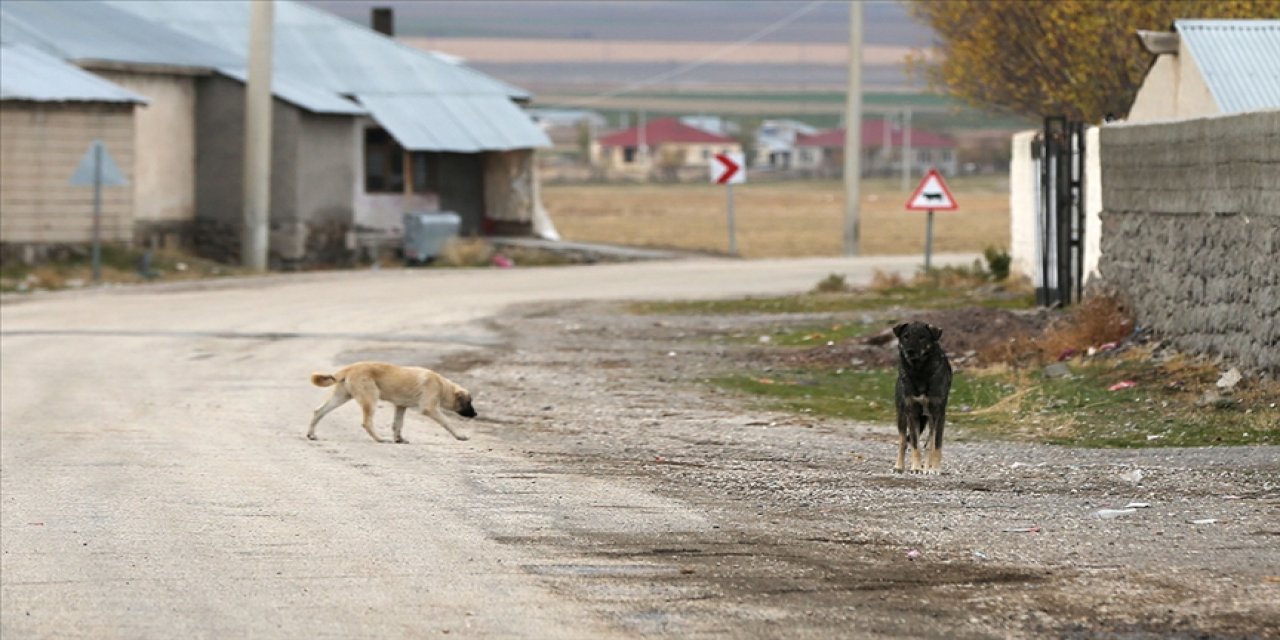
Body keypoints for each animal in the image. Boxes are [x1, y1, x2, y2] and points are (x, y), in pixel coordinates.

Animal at [307, 363, 478, 442]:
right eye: (469, 402)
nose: (476, 414)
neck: (443, 386)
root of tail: (348, 369)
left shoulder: (401, 406)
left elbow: (398, 424)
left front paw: (399, 439)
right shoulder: (430, 408)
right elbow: (448, 422)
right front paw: (460, 435)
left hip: (341, 397)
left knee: (319, 411)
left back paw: (311, 434)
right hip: (371, 398)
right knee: (366, 422)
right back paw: (380, 439)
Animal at [896, 322, 957, 473]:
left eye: (922, 337)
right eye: (905, 336)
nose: (910, 351)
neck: (919, 372)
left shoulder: (938, 413)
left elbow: (936, 445)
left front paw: (934, 468)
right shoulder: (912, 413)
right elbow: (915, 444)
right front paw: (916, 467)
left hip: (928, 419)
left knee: (930, 443)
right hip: (902, 415)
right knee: (903, 441)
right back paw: (899, 466)